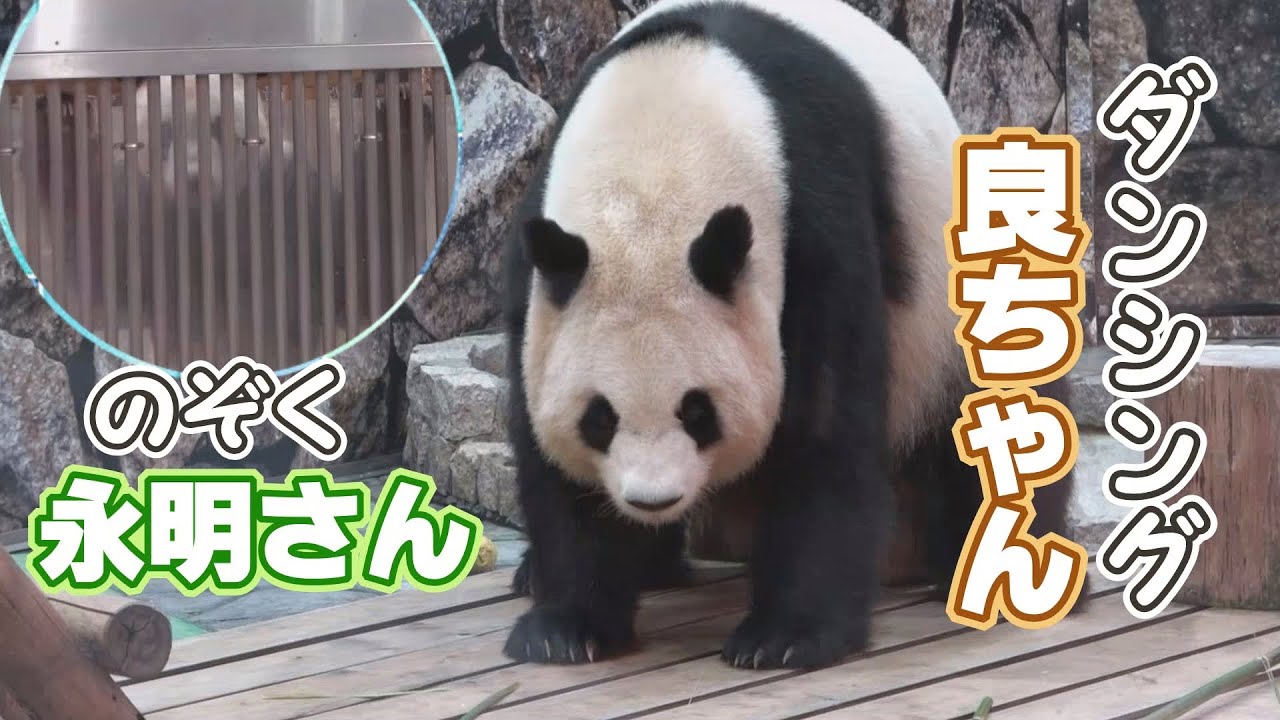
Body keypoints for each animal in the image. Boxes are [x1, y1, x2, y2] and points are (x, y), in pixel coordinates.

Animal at [501, 0, 1086, 670]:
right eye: (599, 417)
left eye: (699, 412)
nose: (651, 500)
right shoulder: (541, 261)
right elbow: (548, 454)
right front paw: (565, 627)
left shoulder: (813, 213)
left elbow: (824, 422)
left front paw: (784, 637)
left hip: (948, 314)